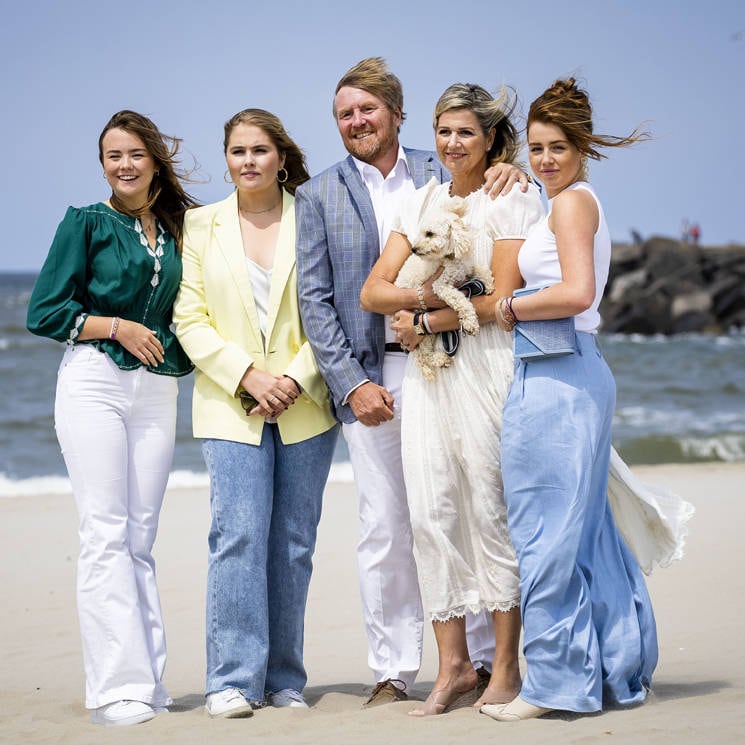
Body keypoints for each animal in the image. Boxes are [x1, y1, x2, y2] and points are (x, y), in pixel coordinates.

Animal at [396, 195, 494, 380]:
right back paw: (441, 360)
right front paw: (470, 323)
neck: (451, 257)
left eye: (429, 233)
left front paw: (489, 285)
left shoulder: (467, 268)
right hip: (418, 326)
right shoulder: (440, 286)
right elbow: (461, 300)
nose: (414, 249)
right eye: (422, 233)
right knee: (422, 355)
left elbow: (481, 270)